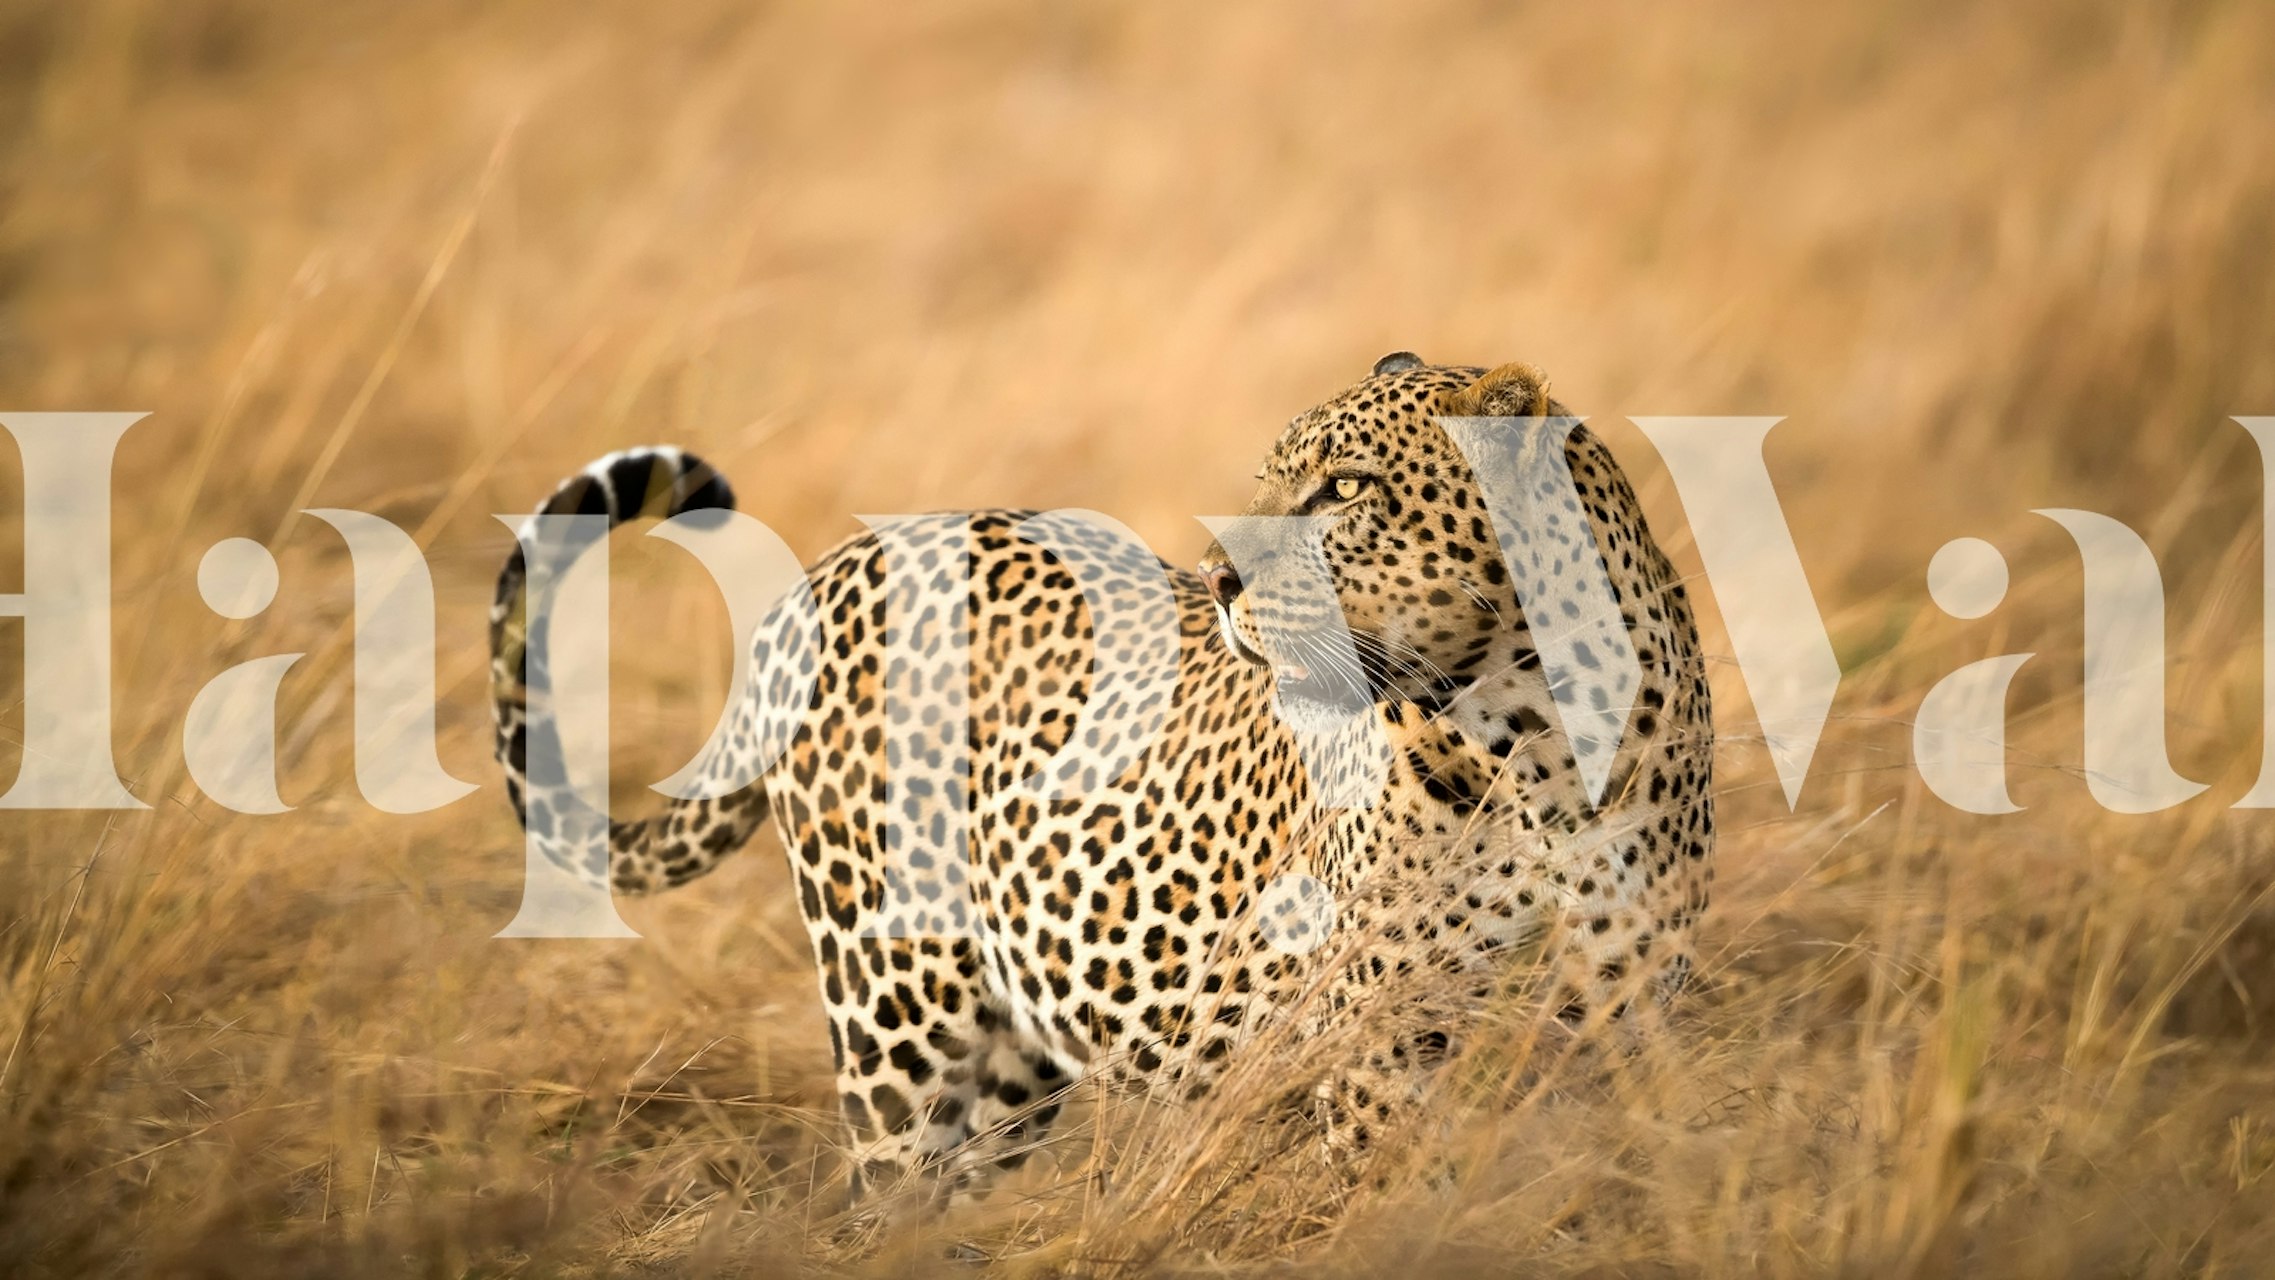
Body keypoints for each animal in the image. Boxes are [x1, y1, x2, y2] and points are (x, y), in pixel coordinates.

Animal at [487, 353, 1714, 1204]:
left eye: (1343, 488)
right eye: (1267, 482)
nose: (1219, 577)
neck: (1542, 734)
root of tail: (833, 567)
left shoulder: (1626, 1019)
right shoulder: (1381, 1047)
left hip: (1010, 1059)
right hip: (896, 1010)